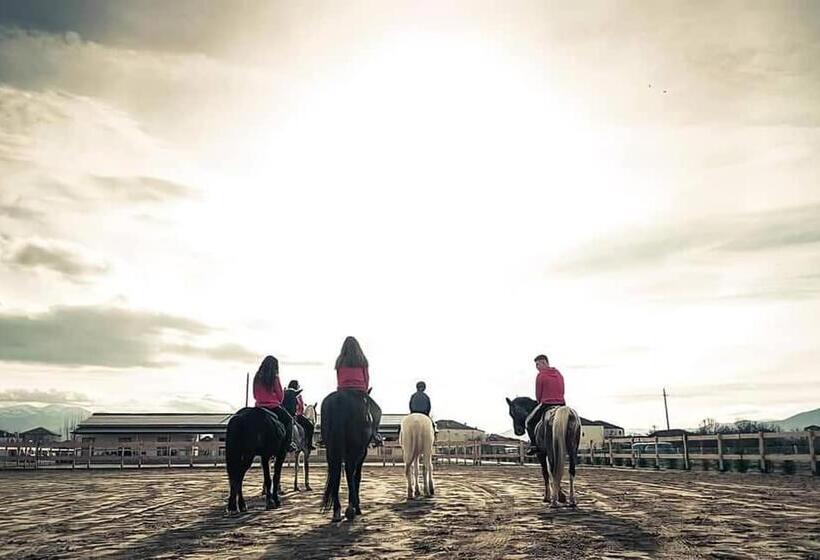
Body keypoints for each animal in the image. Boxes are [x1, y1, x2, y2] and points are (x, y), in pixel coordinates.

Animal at [320, 389, 377, 522]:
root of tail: (340, 400)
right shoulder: (362, 454)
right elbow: (357, 476)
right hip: (355, 449)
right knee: (349, 471)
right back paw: (353, 508)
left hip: (331, 450)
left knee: (335, 473)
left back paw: (337, 511)